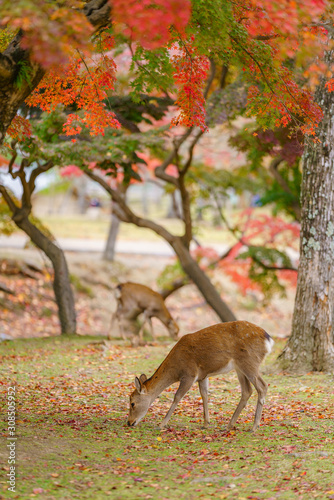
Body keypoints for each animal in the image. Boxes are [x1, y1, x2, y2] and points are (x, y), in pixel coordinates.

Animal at [128, 322, 274, 432]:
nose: (129, 422)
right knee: (247, 391)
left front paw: (161, 425)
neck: (176, 369)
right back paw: (229, 425)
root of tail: (269, 340)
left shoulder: (190, 374)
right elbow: (204, 395)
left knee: (263, 386)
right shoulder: (203, 376)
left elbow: (177, 396)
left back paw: (254, 427)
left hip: (250, 362)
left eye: (132, 403)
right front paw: (205, 424)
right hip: (240, 368)